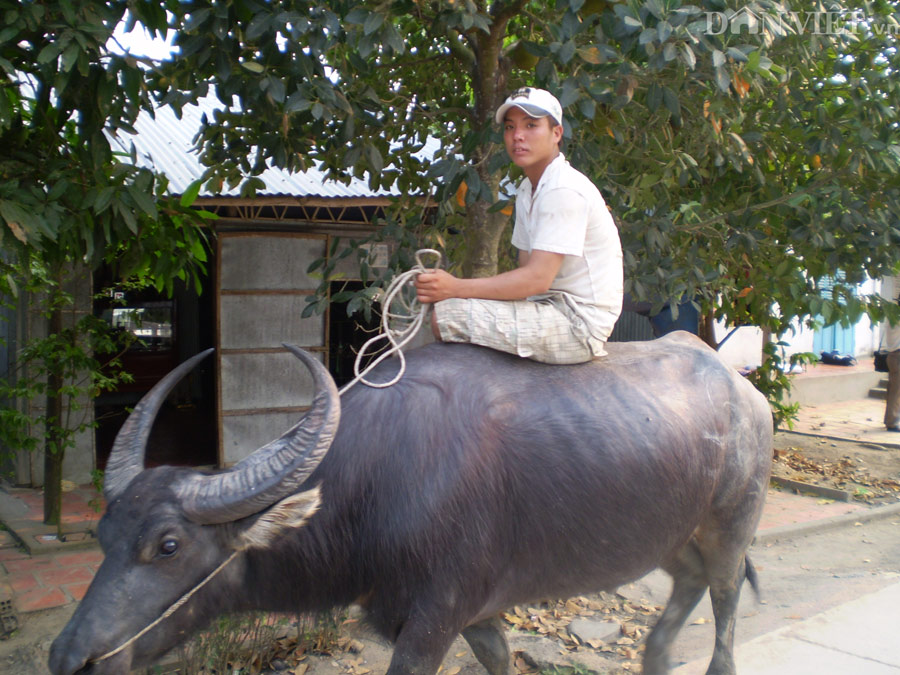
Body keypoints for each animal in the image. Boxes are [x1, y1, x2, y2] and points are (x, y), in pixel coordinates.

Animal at [49, 334, 768, 675]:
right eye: (103, 536)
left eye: (168, 545)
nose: (69, 659)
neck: (374, 491)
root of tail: (743, 390)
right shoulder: (467, 615)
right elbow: (500, 659)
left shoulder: (432, 623)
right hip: (673, 535)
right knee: (689, 581)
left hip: (732, 524)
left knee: (726, 600)